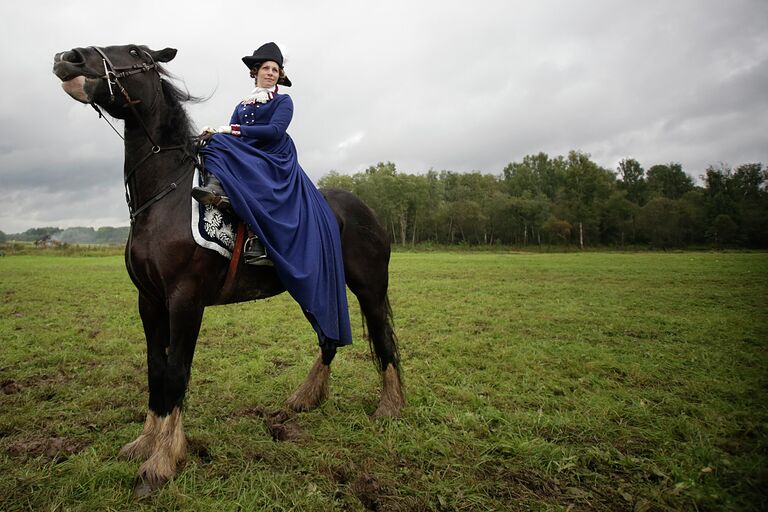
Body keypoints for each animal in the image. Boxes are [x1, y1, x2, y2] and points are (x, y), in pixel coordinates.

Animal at [51, 45, 404, 496]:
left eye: (134, 52)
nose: (69, 57)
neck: (166, 196)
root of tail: (366, 210)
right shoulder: (149, 301)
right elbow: (155, 369)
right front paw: (144, 444)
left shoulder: (186, 300)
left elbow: (176, 373)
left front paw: (162, 462)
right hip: (311, 287)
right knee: (329, 339)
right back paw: (305, 398)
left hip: (369, 287)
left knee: (384, 341)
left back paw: (389, 408)